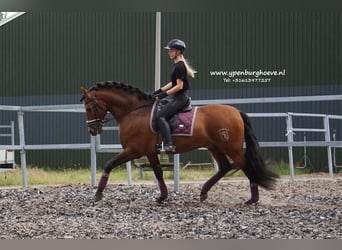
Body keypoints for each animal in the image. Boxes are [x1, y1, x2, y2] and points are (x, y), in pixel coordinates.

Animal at [81, 81, 280, 204]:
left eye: (89, 107)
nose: (92, 131)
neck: (134, 111)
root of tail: (236, 111)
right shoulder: (150, 152)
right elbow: (158, 173)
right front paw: (162, 197)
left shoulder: (134, 150)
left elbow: (109, 164)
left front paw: (98, 193)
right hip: (214, 146)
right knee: (225, 167)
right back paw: (204, 192)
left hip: (231, 148)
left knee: (245, 166)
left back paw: (253, 199)